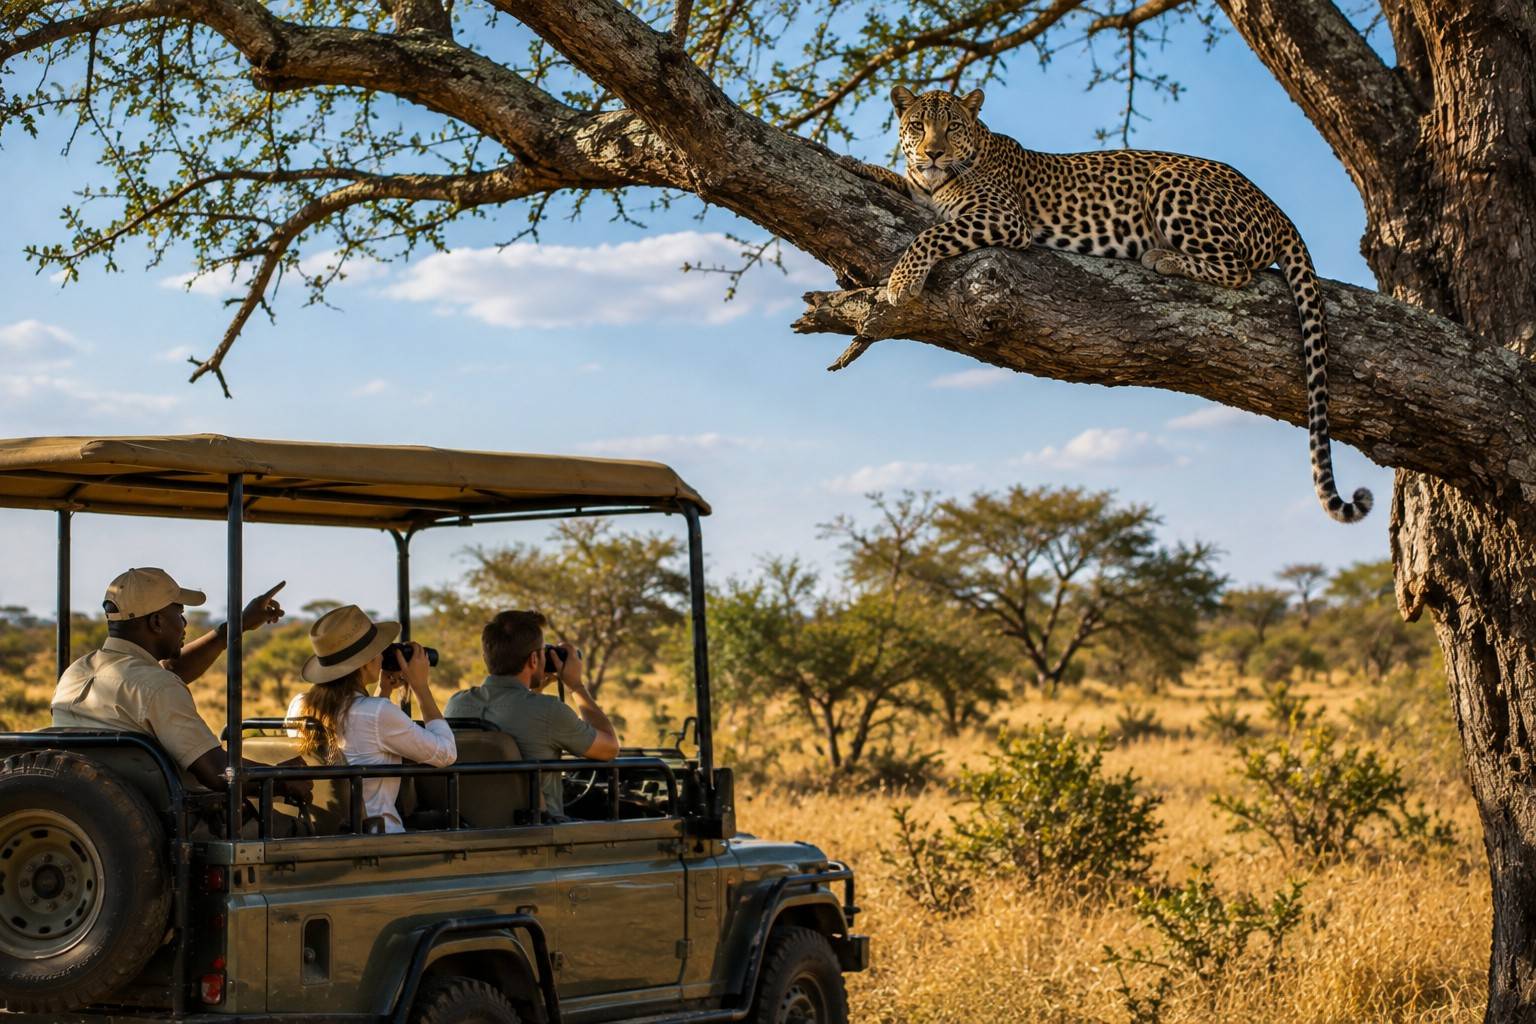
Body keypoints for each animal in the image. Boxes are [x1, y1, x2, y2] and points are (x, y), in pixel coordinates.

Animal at [846, 85, 1371, 525]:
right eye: (918, 125)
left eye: (952, 126)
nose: (933, 152)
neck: (938, 181)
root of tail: (1276, 207)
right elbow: (900, 182)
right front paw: (858, 165)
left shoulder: (1002, 218)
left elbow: (931, 233)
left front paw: (901, 282)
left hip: (1170, 180)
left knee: (1239, 267)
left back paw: (1162, 256)